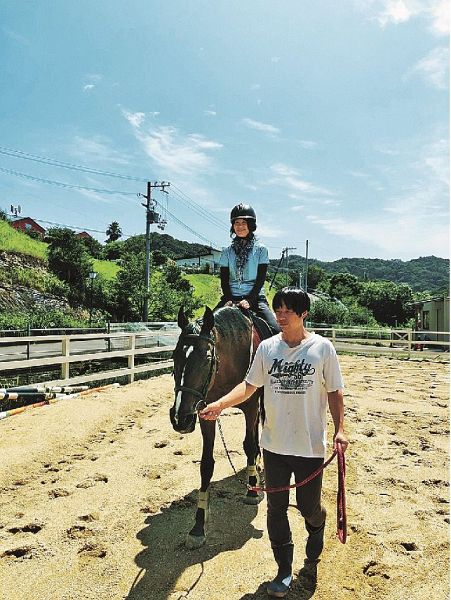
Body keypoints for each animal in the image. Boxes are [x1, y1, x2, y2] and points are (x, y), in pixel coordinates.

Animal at [170, 304, 264, 548]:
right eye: (174, 356)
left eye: (207, 358)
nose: (180, 418)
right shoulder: (205, 413)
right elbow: (206, 464)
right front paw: (198, 525)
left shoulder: (251, 406)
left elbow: (249, 445)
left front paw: (252, 491)